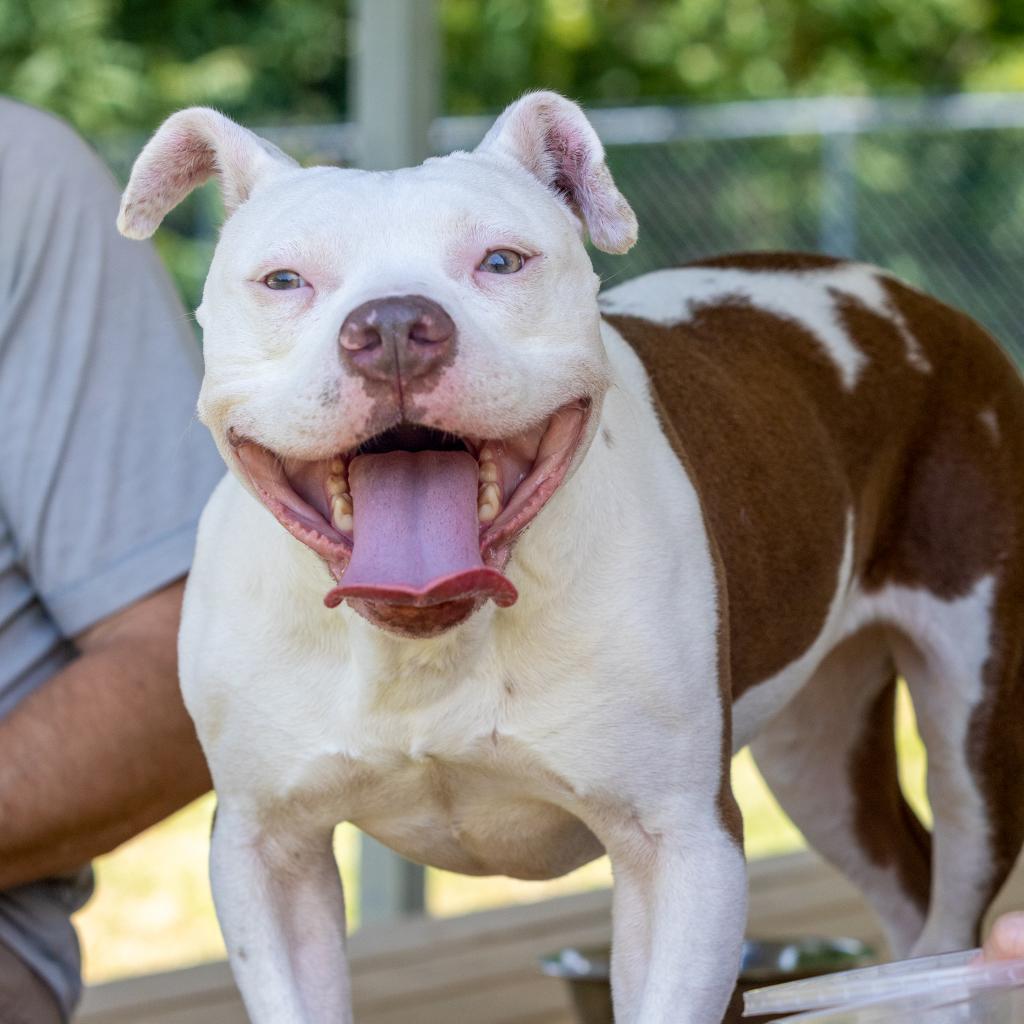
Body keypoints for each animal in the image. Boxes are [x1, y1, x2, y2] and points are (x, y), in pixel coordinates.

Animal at [114, 90, 1024, 1024]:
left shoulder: (680, 848)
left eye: (502, 261)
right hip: (818, 751)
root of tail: (907, 295)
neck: (429, 644)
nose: (396, 325)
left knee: (953, 899)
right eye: (284, 281)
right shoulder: (267, 850)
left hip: (974, 728)